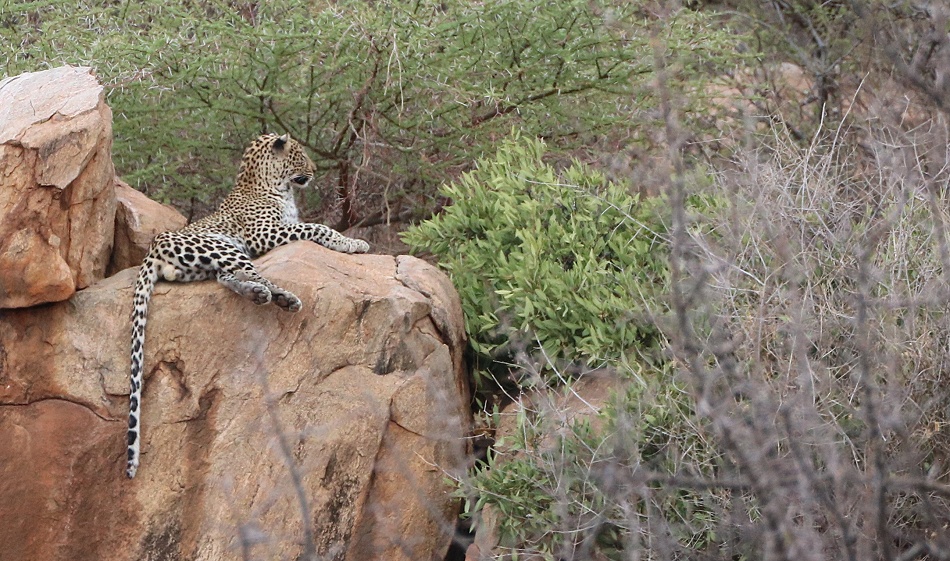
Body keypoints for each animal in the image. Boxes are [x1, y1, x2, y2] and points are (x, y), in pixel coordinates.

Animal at [126, 133, 369, 479]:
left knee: (228, 278)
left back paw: (262, 295)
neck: (272, 185)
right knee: (251, 274)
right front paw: (352, 243)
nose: (313, 170)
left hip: (213, 260)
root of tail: (152, 249)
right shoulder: (265, 234)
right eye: (299, 156)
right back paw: (284, 297)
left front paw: (351, 242)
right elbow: (317, 227)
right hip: (223, 247)